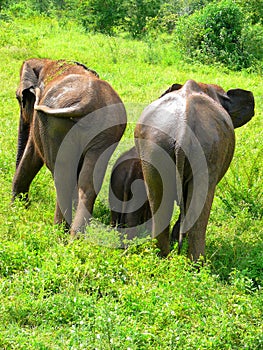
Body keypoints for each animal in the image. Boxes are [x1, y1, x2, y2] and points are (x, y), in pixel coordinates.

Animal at [12, 58, 128, 237]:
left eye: (19, 99)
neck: (45, 61)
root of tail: (87, 101)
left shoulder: (40, 122)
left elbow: (32, 154)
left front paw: (15, 208)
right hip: (106, 131)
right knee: (88, 181)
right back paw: (76, 237)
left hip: (56, 124)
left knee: (62, 177)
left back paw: (59, 232)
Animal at [135, 79, 255, 260]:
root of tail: (183, 129)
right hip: (207, 151)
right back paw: (196, 263)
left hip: (155, 146)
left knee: (160, 201)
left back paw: (163, 257)